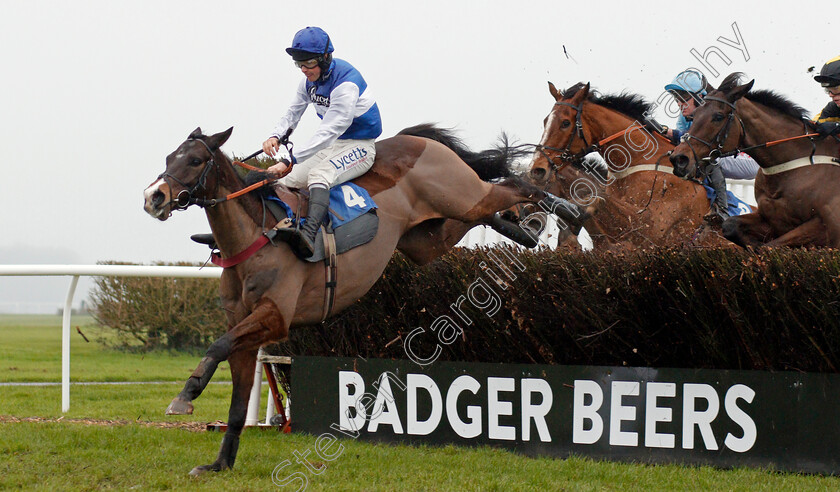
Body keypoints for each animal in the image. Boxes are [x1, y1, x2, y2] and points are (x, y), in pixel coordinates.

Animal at [143, 125, 584, 474]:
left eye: (195, 159)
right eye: (168, 157)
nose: (154, 197)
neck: (256, 238)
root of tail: (417, 140)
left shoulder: (274, 316)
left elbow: (216, 347)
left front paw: (185, 395)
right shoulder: (244, 327)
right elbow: (235, 400)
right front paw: (219, 464)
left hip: (461, 194)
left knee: (510, 186)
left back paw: (562, 207)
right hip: (426, 240)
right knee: (478, 214)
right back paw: (523, 229)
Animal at [532, 82, 736, 250]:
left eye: (565, 123)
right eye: (545, 121)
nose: (537, 168)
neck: (639, 162)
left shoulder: (653, 226)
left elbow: (598, 198)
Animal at [668, 72, 840, 250]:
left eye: (718, 116)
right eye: (693, 116)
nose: (679, 159)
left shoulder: (825, 228)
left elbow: (770, 247)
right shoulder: (770, 220)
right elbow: (730, 226)